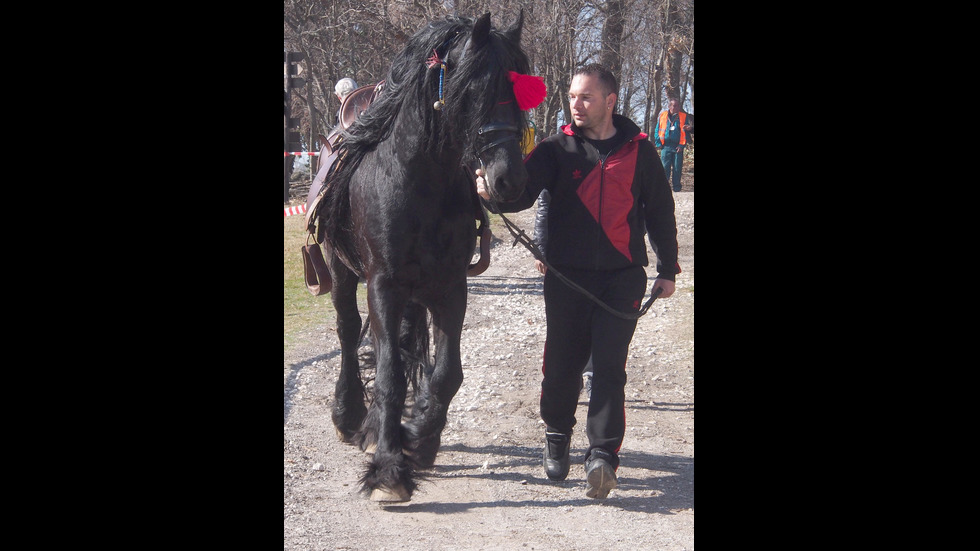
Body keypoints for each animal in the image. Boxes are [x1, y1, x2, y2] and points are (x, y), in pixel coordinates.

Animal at [312, 11, 536, 504]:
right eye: (473, 87)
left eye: (519, 90)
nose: (510, 180)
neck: (419, 181)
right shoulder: (383, 285)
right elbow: (390, 376)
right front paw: (389, 471)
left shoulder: (450, 287)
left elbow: (446, 374)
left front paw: (417, 438)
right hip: (343, 274)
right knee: (348, 332)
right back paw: (349, 414)